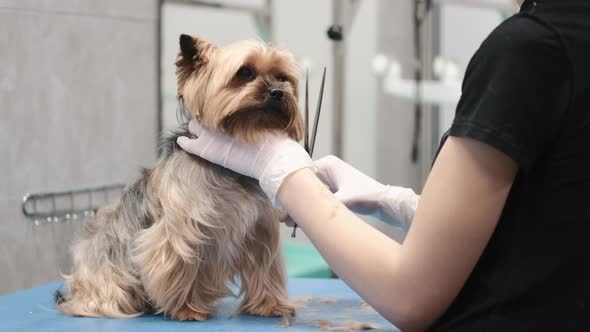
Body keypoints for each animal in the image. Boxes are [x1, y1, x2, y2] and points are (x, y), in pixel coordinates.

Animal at [54, 34, 306, 324]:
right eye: (245, 72)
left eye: (283, 77)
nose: (277, 92)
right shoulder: (181, 230)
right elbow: (181, 265)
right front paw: (186, 309)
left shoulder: (259, 230)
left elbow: (265, 268)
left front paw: (269, 304)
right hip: (109, 276)